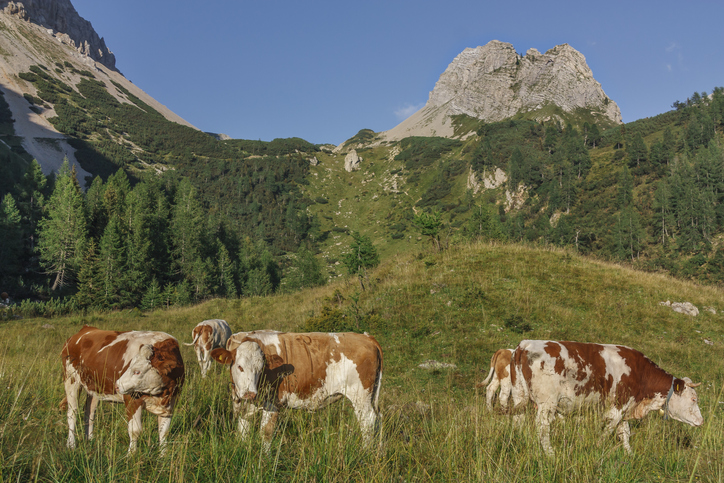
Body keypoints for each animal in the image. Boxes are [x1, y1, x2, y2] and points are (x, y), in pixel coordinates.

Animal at [60, 326, 185, 454]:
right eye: (129, 365)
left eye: (137, 371)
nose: (117, 385)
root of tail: (85, 329)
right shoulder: (132, 398)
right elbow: (135, 430)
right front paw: (131, 455)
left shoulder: (171, 401)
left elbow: (164, 431)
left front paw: (163, 455)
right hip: (71, 379)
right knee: (72, 413)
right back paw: (71, 444)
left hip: (94, 388)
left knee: (89, 413)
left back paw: (90, 441)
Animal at [212, 330, 384, 452]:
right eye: (239, 366)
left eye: (260, 369)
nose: (250, 393)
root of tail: (365, 337)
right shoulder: (245, 407)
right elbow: (243, 432)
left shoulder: (272, 403)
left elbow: (266, 433)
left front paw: (264, 461)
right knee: (377, 420)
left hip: (361, 396)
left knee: (368, 422)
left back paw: (365, 453)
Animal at [510, 338, 700, 456]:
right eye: (693, 399)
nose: (701, 421)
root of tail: (525, 344)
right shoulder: (617, 406)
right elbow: (608, 430)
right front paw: (597, 447)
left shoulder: (625, 408)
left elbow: (624, 433)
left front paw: (629, 454)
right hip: (546, 402)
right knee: (543, 427)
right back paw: (550, 453)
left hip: (520, 395)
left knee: (518, 420)